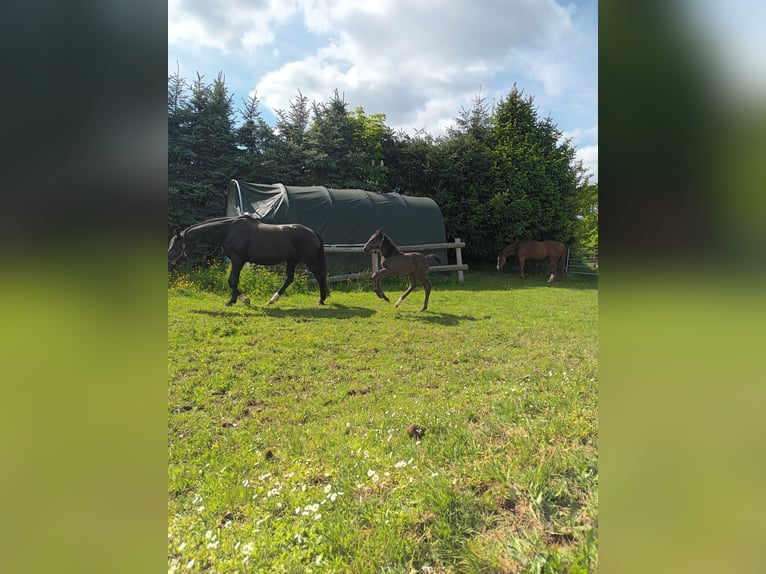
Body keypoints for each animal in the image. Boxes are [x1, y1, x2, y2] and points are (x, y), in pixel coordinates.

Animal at [169, 216, 330, 306]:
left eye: (174, 247)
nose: (169, 266)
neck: (228, 230)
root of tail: (313, 233)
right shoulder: (237, 261)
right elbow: (234, 280)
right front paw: (234, 300)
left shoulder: (237, 259)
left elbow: (232, 281)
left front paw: (241, 300)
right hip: (292, 260)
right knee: (289, 279)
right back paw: (272, 300)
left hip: (310, 260)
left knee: (319, 276)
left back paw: (321, 300)